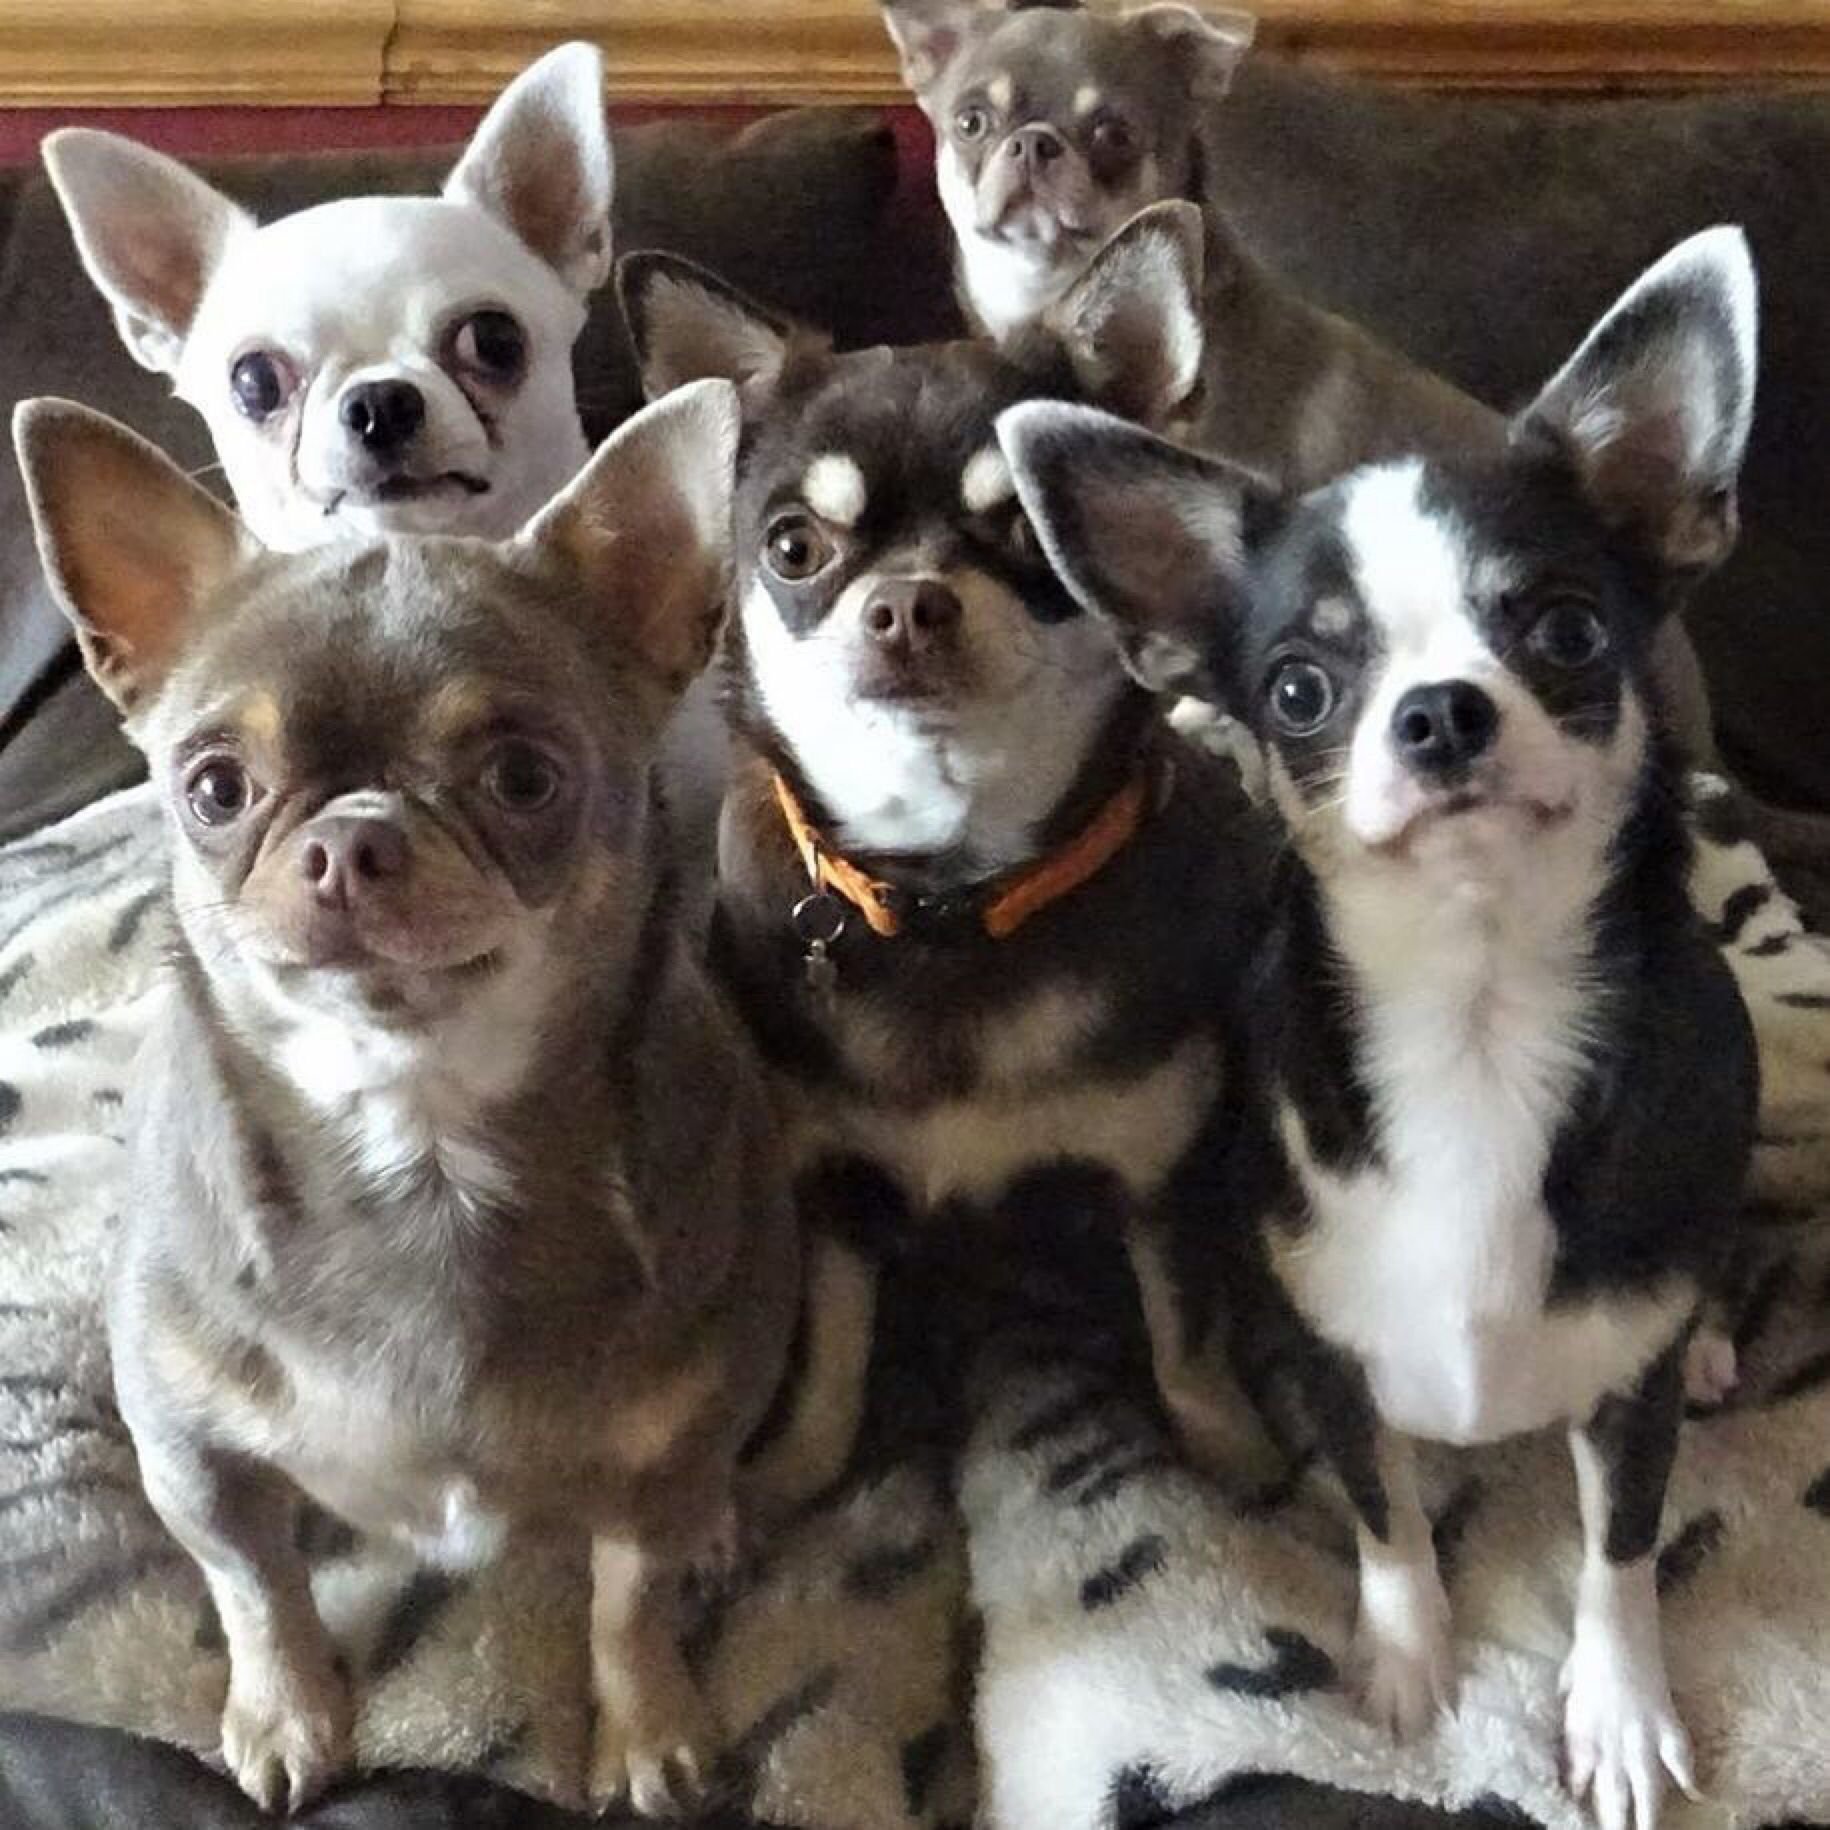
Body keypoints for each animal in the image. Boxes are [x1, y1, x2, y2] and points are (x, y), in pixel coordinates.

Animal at [13, 381, 795, 1819]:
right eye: (214, 787)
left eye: (525, 778)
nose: (352, 839)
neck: (420, 1137)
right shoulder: (193, 1459)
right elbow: (253, 1582)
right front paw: (289, 1712)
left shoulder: (657, 1460)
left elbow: (628, 1602)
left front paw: (649, 1729)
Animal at [616, 204, 1276, 1512]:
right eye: (794, 548)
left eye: (1027, 527)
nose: (910, 602)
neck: (949, 896)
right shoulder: (828, 1186)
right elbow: (834, 1345)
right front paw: (795, 1471)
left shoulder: (1164, 1179)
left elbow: (1186, 1342)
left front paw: (1237, 1459)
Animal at [1001, 226, 1761, 1830]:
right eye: (1299, 688)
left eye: (1565, 628)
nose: (1441, 713)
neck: (1472, 1018)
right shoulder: (1327, 1359)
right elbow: (1384, 1512)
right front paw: (1407, 1661)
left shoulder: (1629, 1406)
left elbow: (1622, 1551)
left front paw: (1618, 1712)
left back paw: (1722, 1335)